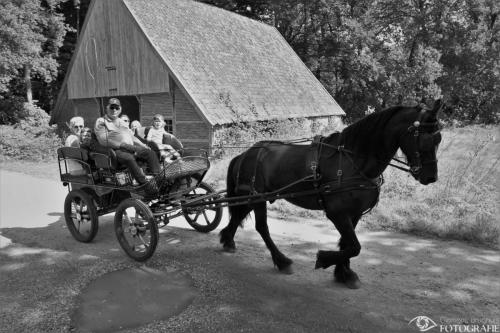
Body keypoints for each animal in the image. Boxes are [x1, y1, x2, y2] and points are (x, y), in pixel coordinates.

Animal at [219, 99, 446, 288]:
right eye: (425, 139)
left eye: (439, 139)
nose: (431, 177)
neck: (353, 162)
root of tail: (246, 153)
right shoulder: (337, 213)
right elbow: (354, 246)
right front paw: (325, 259)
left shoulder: (354, 213)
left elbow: (347, 244)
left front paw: (344, 273)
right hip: (258, 198)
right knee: (262, 227)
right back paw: (282, 261)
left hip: (252, 196)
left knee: (239, 214)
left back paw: (228, 240)